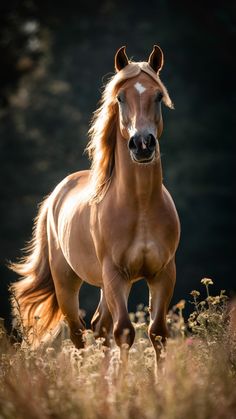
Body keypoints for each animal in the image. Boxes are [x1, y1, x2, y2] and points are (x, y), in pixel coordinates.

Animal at [10, 44, 181, 362]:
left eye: (158, 96)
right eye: (120, 97)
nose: (142, 144)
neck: (140, 205)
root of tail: (56, 194)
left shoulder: (162, 273)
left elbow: (157, 333)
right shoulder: (115, 274)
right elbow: (124, 331)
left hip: (108, 284)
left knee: (100, 328)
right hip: (68, 283)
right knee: (79, 336)